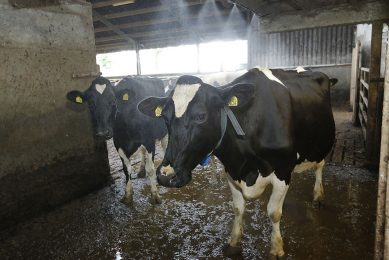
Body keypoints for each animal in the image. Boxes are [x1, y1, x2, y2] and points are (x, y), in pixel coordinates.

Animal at [137, 66, 336, 256]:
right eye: (164, 117)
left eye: (201, 116)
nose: (165, 175)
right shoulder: (232, 170)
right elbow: (238, 209)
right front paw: (234, 242)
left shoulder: (282, 170)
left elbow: (274, 213)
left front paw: (276, 248)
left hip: (322, 144)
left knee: (320, 166)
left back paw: (318, 195)